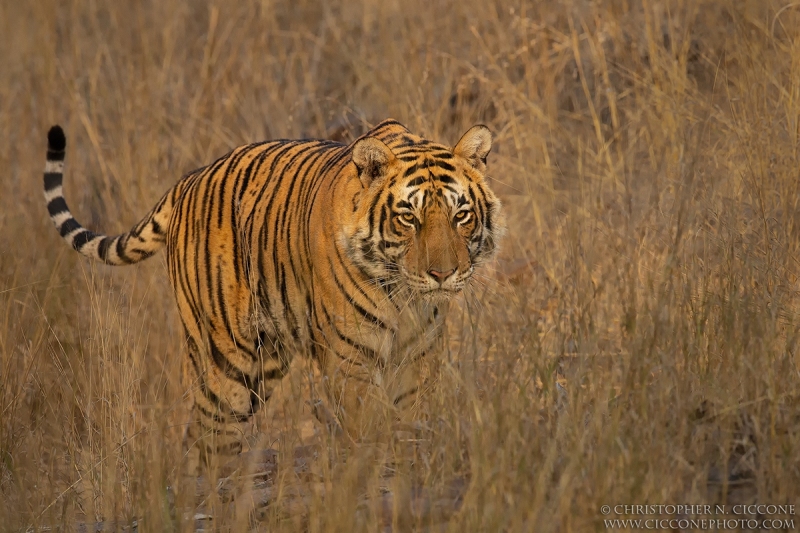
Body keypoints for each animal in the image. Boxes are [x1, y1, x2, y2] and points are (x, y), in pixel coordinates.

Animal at [42, 118, 500, 468]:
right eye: (409, 218)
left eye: (461, 215)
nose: (443, 274)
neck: (405, 298)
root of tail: (189, 179)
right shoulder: (351, 360)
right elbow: (371, 427)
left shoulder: (418, 355)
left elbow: (411, 422)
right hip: (224, 360)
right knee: (210, 436)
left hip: (266, 360)